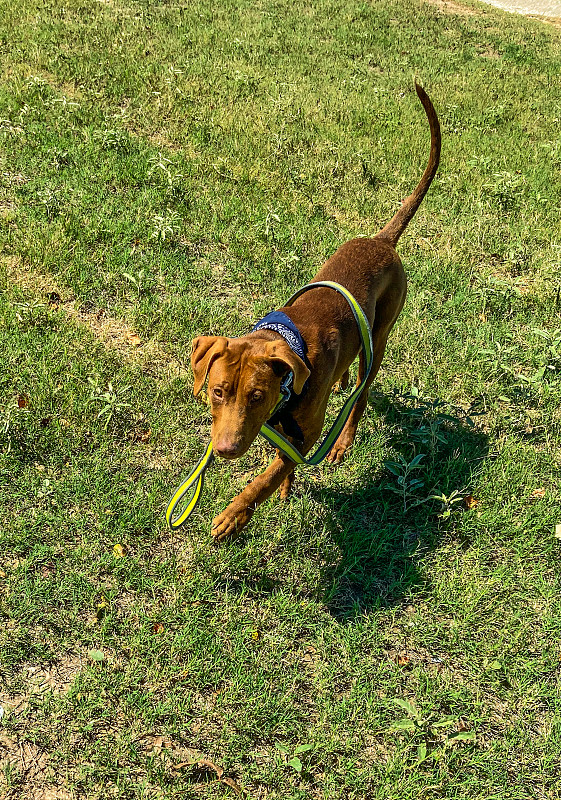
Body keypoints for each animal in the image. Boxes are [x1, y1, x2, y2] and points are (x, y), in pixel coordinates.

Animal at [190, 81, 440, 540]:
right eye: (217, 391)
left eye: (256, 396)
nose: (227, 449)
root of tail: (383, 241)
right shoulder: (281, 429)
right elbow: (280, 460)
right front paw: (285, 486)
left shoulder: (307, 434)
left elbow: (267, 476)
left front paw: (236, 512)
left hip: (382, 335)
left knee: (362, 392)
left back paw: (344, 438)